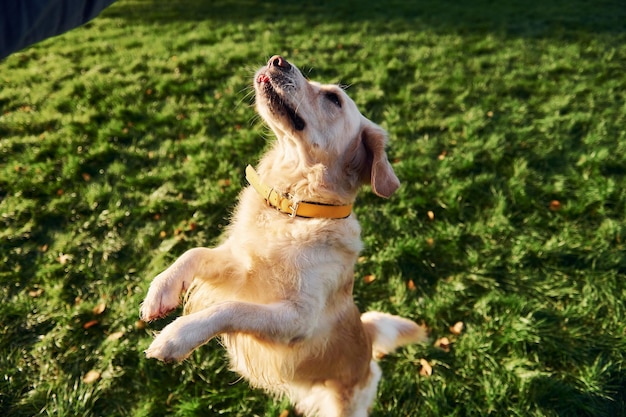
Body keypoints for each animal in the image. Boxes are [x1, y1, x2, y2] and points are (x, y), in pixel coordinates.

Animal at [139, 56, 426, 416]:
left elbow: (231, 309)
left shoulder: (297, 318)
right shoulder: (241, 266)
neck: (295, 207)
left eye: (333, 99)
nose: (278, 60)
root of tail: (368, 337)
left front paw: (177, 336)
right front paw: (161, 290)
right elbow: (196, 252)